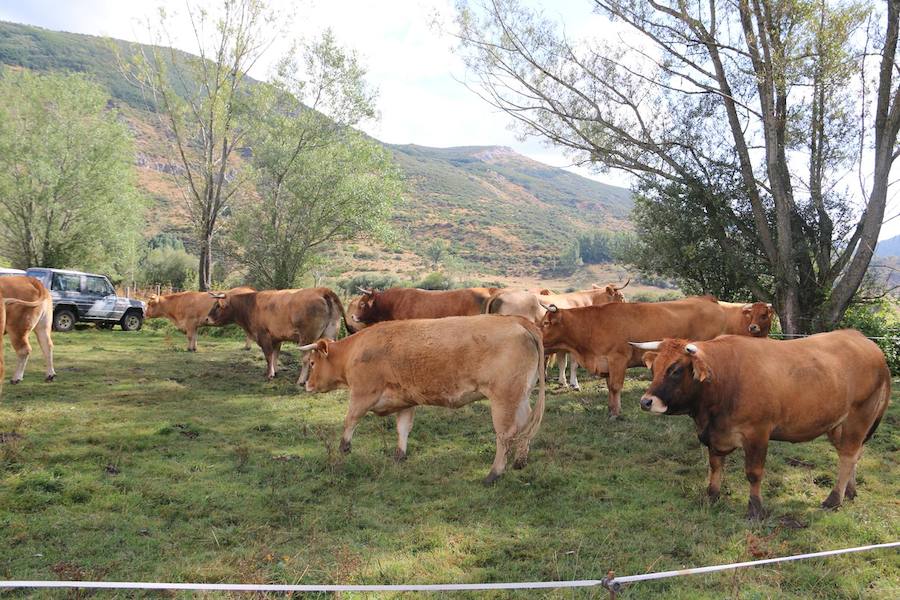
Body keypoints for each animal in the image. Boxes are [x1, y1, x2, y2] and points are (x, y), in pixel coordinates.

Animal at [207, 288, 344, 382]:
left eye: (217, 305)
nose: (207, 318)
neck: (251, 305)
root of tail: (321, 290)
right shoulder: (277, 338)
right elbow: (275, 355)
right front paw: (275, 371)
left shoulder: (264, 336)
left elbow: (268, 355)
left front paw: (269, 374)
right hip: (330, 333)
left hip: (306, 338)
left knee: (306, 358)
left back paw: (301, 380)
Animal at [300, 314, 548, 482]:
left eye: (312, 363)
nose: (305, 384)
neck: (357, 349)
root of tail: (518, 320)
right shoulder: (405, 401)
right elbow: (403, 429)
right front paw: (399, 456)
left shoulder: (362, 394)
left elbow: (350, 420)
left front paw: (344, 448)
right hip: (520, 396)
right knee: (525, 427)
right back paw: (520, 461)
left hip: (504, 399)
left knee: (506, 434)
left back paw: (494, 473)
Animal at [636, 332, 888, 520]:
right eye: (654, 368)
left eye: (676, 370)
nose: (646, 402)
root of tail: (864, 341)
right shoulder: (715, 436)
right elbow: (715, 466)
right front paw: (711, 496)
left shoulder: (757, 433)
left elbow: (754, 473)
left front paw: (755, 509)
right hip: (837, 424)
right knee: (854, 455)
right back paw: (850, 492)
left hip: (859, 417)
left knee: (847, 456)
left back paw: (834, 499)